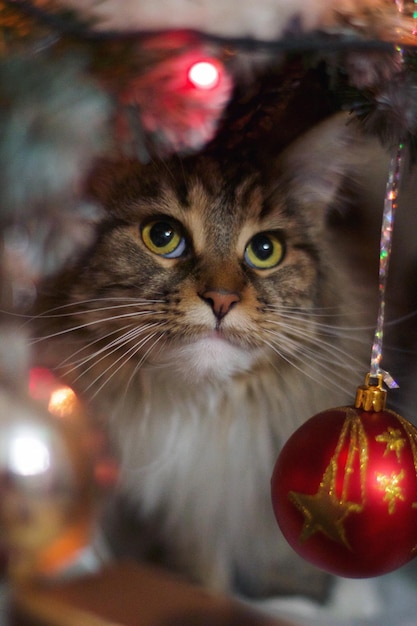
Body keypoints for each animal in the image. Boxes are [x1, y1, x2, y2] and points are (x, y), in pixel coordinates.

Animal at [30, 112, 376, 600]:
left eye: (265, 250)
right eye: (162, 236)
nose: (222, 299)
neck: (187, 409)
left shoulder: (207, 510)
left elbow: (210, 578)